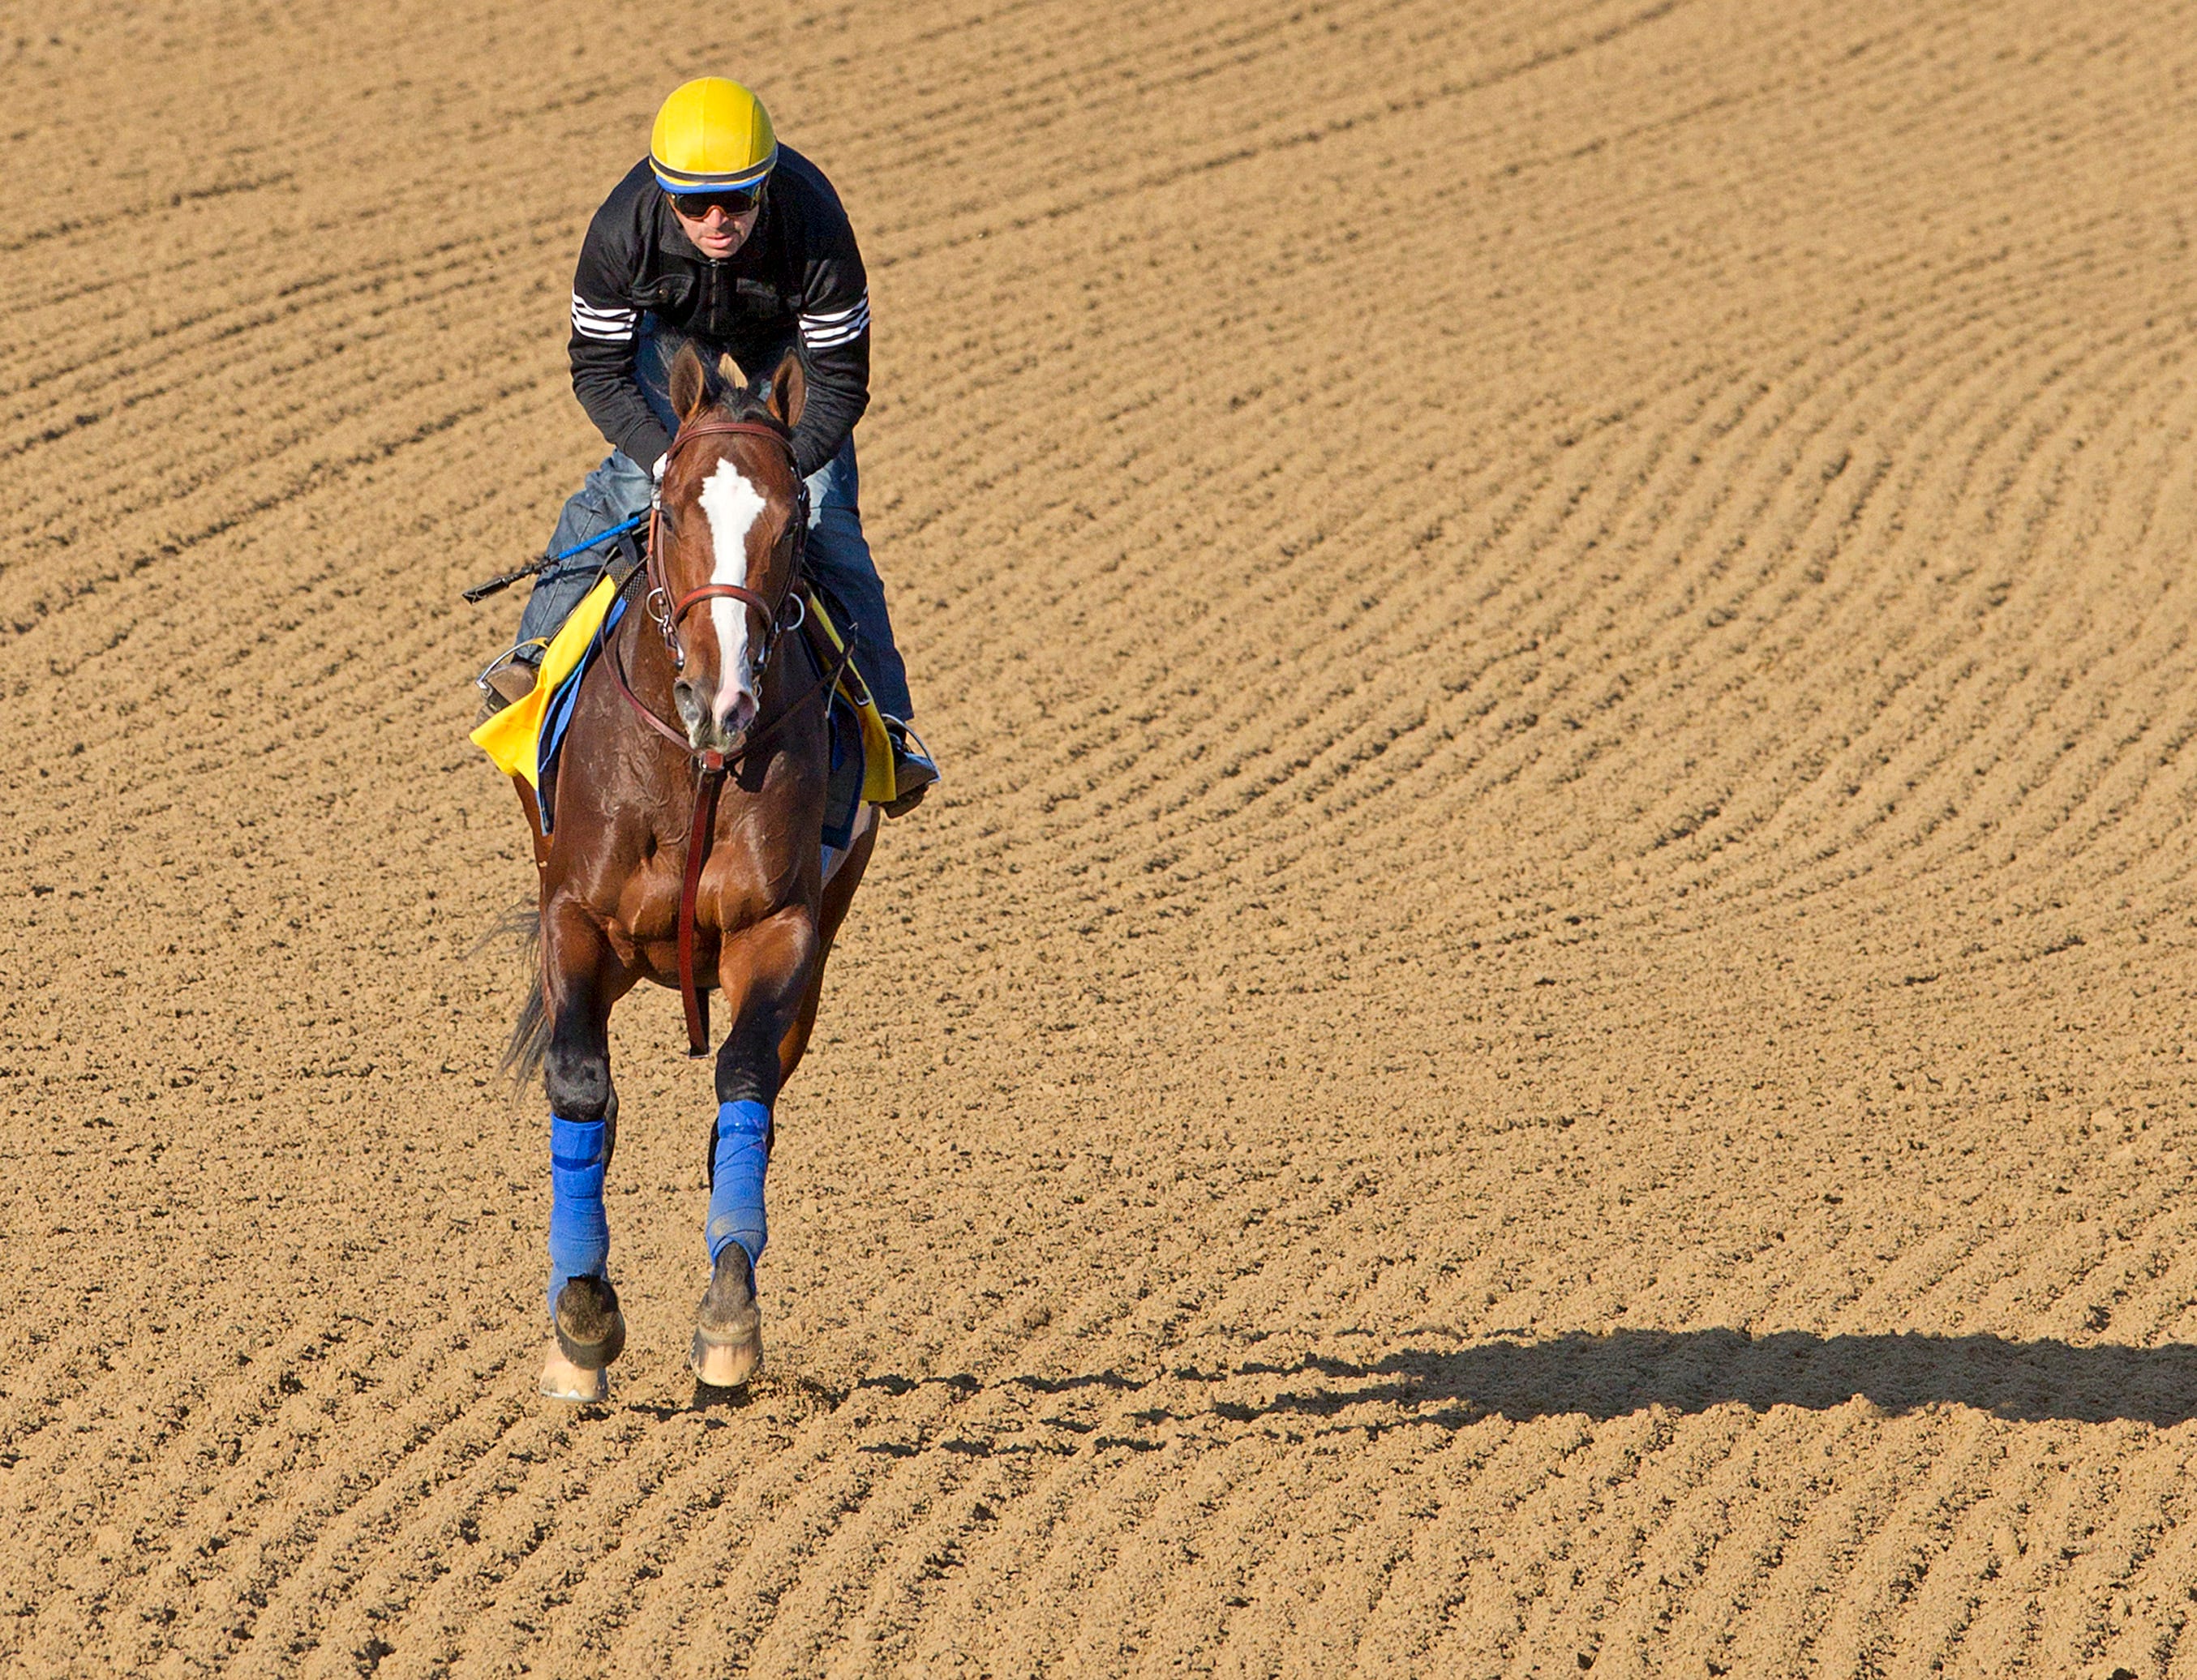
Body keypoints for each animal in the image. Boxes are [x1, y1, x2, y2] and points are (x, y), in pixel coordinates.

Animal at [500, 340, 874, 1405]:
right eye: (669, 510)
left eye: (791, 519)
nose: (723, 698)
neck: (694, 767)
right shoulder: (573, 916)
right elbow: (581, 1087)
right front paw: (581, 1321)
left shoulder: (780, 929)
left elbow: (742, 1083)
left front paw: (728, 1321)